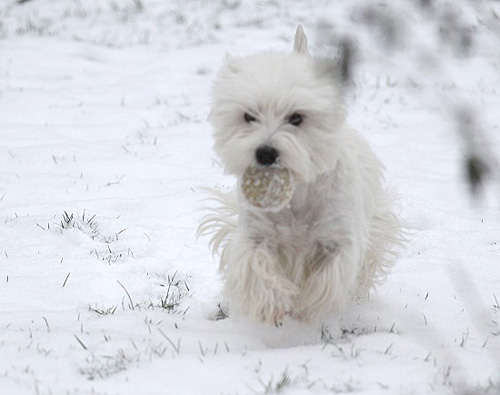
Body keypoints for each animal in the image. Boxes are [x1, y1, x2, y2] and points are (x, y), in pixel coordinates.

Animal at [197, 26, 404, 326]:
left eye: (296, 118)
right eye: (248, 116)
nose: (265, 153)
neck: (297, 194)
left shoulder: (340, 239)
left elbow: (327, 279)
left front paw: (305, 307)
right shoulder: (255, 236)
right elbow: (256, 267)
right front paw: (275, 304)